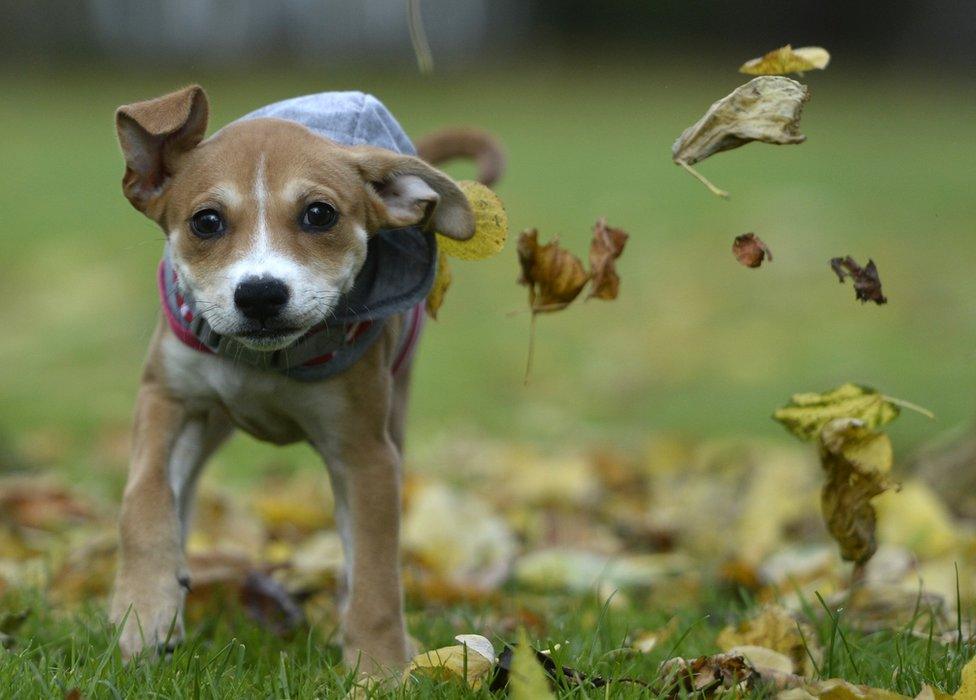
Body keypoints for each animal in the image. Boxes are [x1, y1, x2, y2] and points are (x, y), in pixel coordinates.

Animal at [107, 85, 504, 676]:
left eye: (320, 214)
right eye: (206, 222)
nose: (260, 294)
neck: (266, 363)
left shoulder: (367, 455)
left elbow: (376, 575)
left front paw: (381, 669)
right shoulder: (168, 397)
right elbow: (144, 495)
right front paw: (145, 609)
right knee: (181, 490)